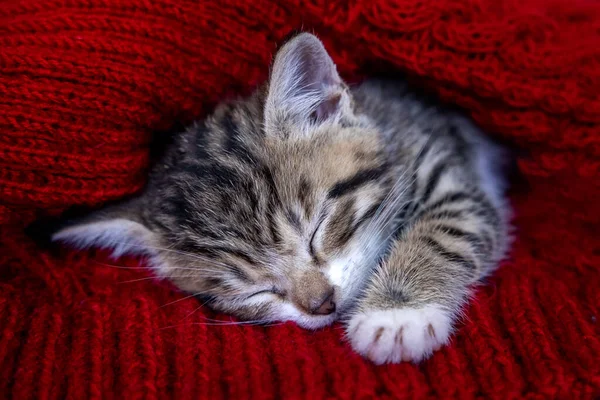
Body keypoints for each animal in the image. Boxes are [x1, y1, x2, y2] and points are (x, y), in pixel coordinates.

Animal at [52, 33, 510, 366]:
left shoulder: (447, 168)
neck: (390, 125)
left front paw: (395, 315)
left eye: (318, 229)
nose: (322, 304)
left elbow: (445, 229)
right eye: (254, 291)